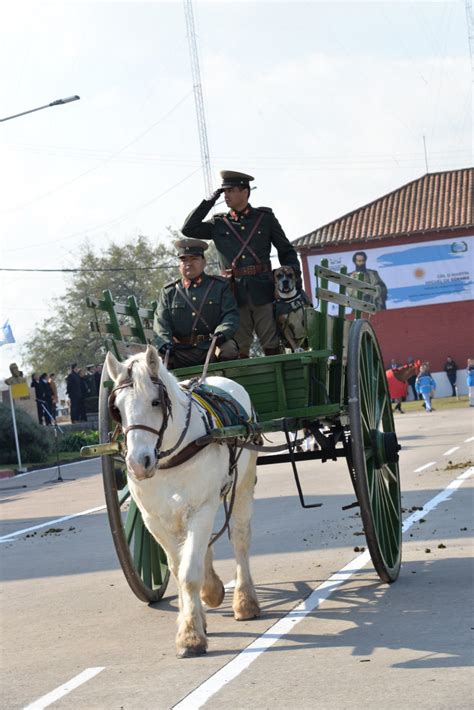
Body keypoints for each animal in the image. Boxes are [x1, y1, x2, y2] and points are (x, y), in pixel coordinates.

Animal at [104, 344, 260, 656]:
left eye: (155, 402)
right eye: (118, 410)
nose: (138, 463)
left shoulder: (201, 508)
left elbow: (189, 573)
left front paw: (190, 636)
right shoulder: (153, 519)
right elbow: (178, 569)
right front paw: (197, 616)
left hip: (242, 484)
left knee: (239, 537)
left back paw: (245, 600)